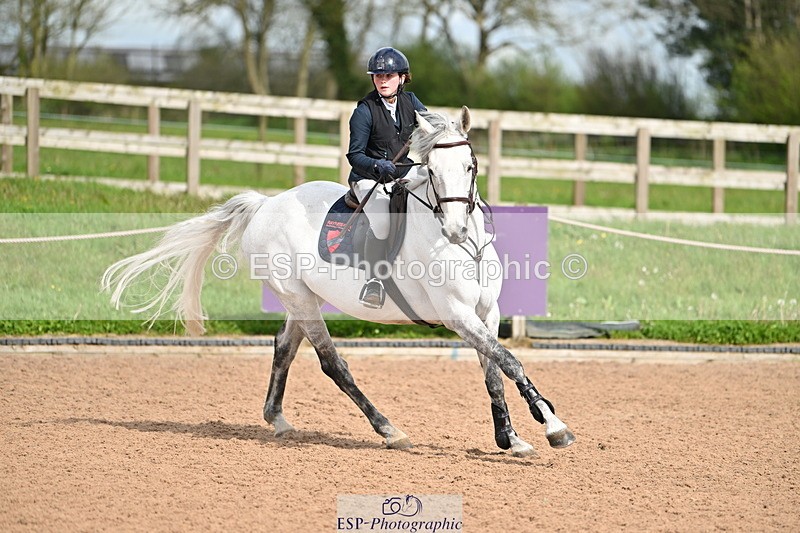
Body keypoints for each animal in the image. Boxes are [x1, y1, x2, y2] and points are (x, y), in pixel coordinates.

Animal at [101, 107, 576, 457]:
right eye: (431, 171)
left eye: (470, 165)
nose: (457, 230)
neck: (463, 247)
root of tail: (265, 204)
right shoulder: (457, 315)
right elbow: (508, 361)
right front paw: (554, 426)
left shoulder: (485, 312)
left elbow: (494, 369)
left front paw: (512, 439)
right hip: (298, 297)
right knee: (332, 363)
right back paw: (389, 430)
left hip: (301, 298)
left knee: (285, 347)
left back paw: (278, 420)